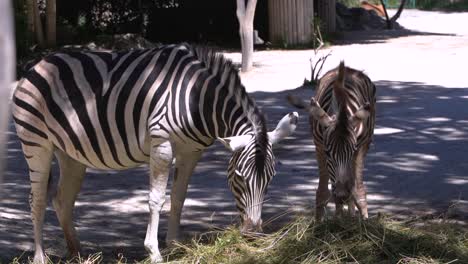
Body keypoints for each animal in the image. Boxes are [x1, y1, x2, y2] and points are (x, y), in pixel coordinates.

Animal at [13, 44, 300, 262]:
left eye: (270, 179)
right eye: (239, 177)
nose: (253, 234)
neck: (198, 99)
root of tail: (38, 64)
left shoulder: (191, 151)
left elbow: (179, 197)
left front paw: (174, 245)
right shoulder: (161, 143)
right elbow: (156, 199)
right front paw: (154, 252)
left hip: (70, 153)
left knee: (62, 199)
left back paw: (77, 253)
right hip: (36, 143)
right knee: (37, 199)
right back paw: (40, 257)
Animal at [288, 62, 376, 221]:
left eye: (352, 151)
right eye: (328, 152)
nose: (342, 195)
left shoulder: (360, 147)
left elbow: (358, 191)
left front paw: (364, 221)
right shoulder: (319, 146)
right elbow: (323, 193)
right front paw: (322, 222)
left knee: (353, 184)